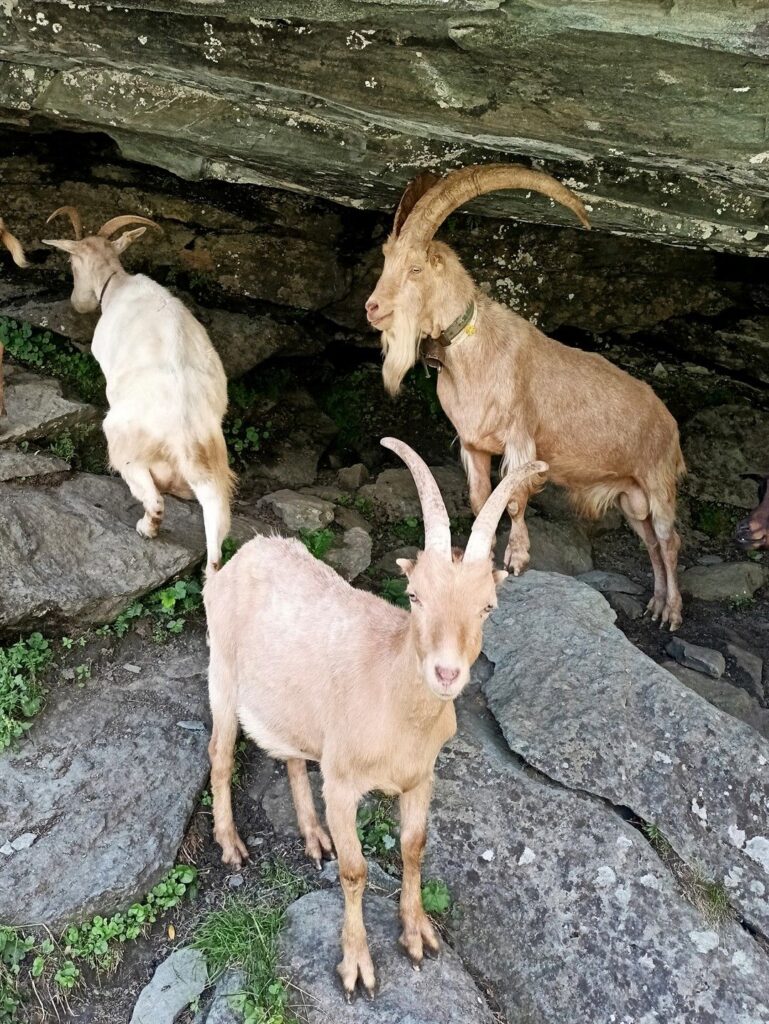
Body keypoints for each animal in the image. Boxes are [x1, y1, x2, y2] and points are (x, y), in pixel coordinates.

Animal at [43, 206, 234, 575]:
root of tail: (183, 431)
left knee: (152, 495)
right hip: (211, 458)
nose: (78, 304)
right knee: (216, 516)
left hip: (126, 442)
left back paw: (147, 528)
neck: (117, 284)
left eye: (72, 264)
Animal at [204, 436, 545, 998]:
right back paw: (231, 845)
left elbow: (413, 847)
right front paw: (357, 967)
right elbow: (355, 870)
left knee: (292, 755)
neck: (394, 702)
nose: (446, 672)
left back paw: (311, 834)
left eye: (488, 607)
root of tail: (233, 562)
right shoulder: (343, 783)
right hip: (223, 673)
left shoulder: (421, 778)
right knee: (220, 754)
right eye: (414, 595)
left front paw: (417, 933)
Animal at [366, 164, 686, 630]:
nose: (372, 309)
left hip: (658, 481)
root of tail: (671, 423)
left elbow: (514, 502)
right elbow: (482, 501)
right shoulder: (474, 445)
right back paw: (657, 606)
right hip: (631, 498)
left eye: (416, 268)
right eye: (387, 261)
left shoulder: (520, 439)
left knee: (669, 539)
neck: (474, 351)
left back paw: (673, 613)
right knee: (651, 544)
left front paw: (517, 560)